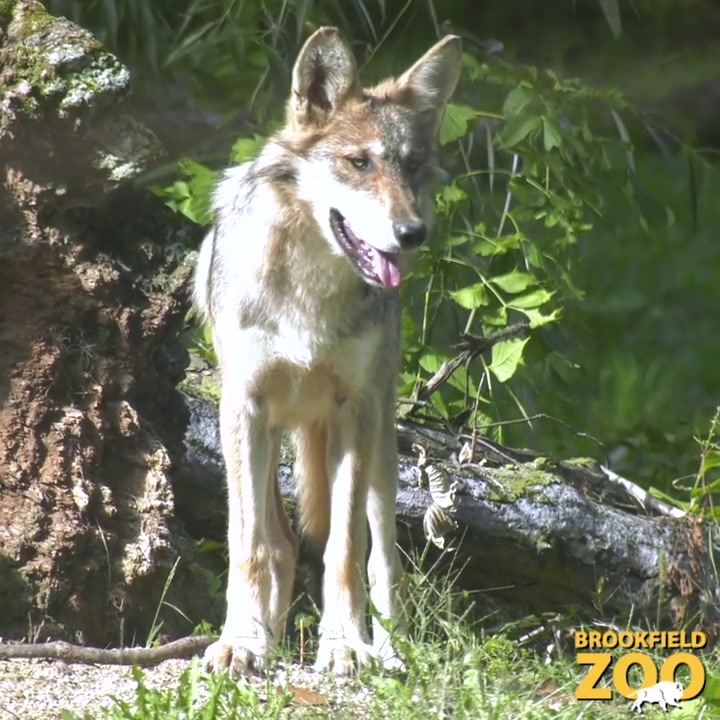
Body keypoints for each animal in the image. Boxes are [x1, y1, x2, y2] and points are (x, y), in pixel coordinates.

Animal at [192, 26, 462, 676]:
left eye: (412, 165)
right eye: (358, 162)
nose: (413, 234)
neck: (309, 290)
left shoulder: (350, 412)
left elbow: (344, 549)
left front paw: (345, 647)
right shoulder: (243, 407)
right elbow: (249, 546)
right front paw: (241, 643)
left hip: (382, 443)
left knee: (383, 556)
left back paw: (389, 650)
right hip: (266, 439)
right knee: (281, 542)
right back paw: (267, 635)